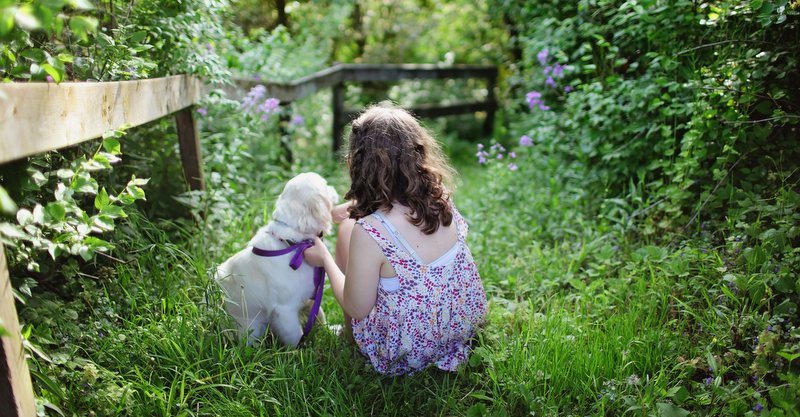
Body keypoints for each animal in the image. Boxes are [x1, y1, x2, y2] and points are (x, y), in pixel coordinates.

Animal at [216, 171, 338, 346]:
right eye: (325, 185)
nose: (334, 188)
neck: (294, 244)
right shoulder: (285, 310)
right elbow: (295, 335)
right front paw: (300, 350)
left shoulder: (311, 297)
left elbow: (320, 315)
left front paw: (331, 331)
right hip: (251, 328)